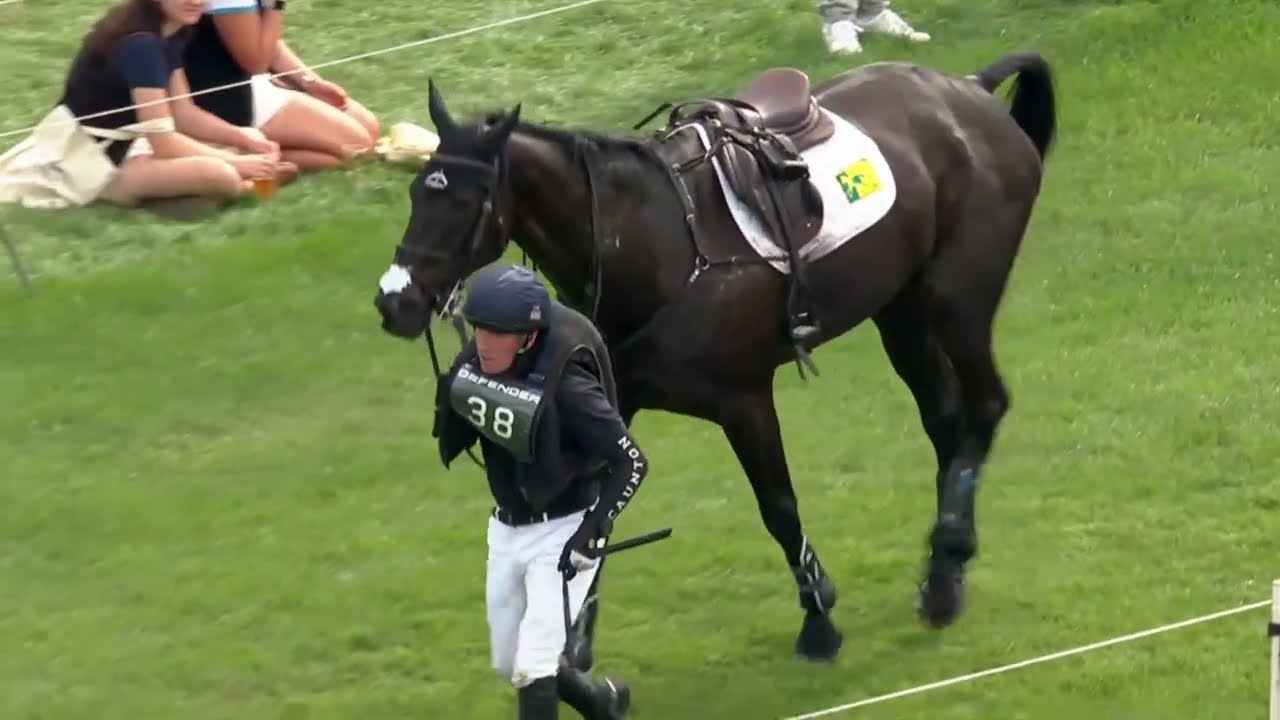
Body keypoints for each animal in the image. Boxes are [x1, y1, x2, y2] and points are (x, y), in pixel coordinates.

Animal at [373, 50, 1057, 663]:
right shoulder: (610, 404)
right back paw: (946, 566)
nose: (394, 301)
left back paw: (946, 562)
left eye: (466, 202)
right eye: (416, 193)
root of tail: (967, 89)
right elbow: (593, 520)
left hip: (957, 301)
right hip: (902, 310)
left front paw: (818, 617)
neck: (650, 244)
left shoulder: (745, 401)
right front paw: (576, 640)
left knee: (985, 406)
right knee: (946, 422)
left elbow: (779, 508)